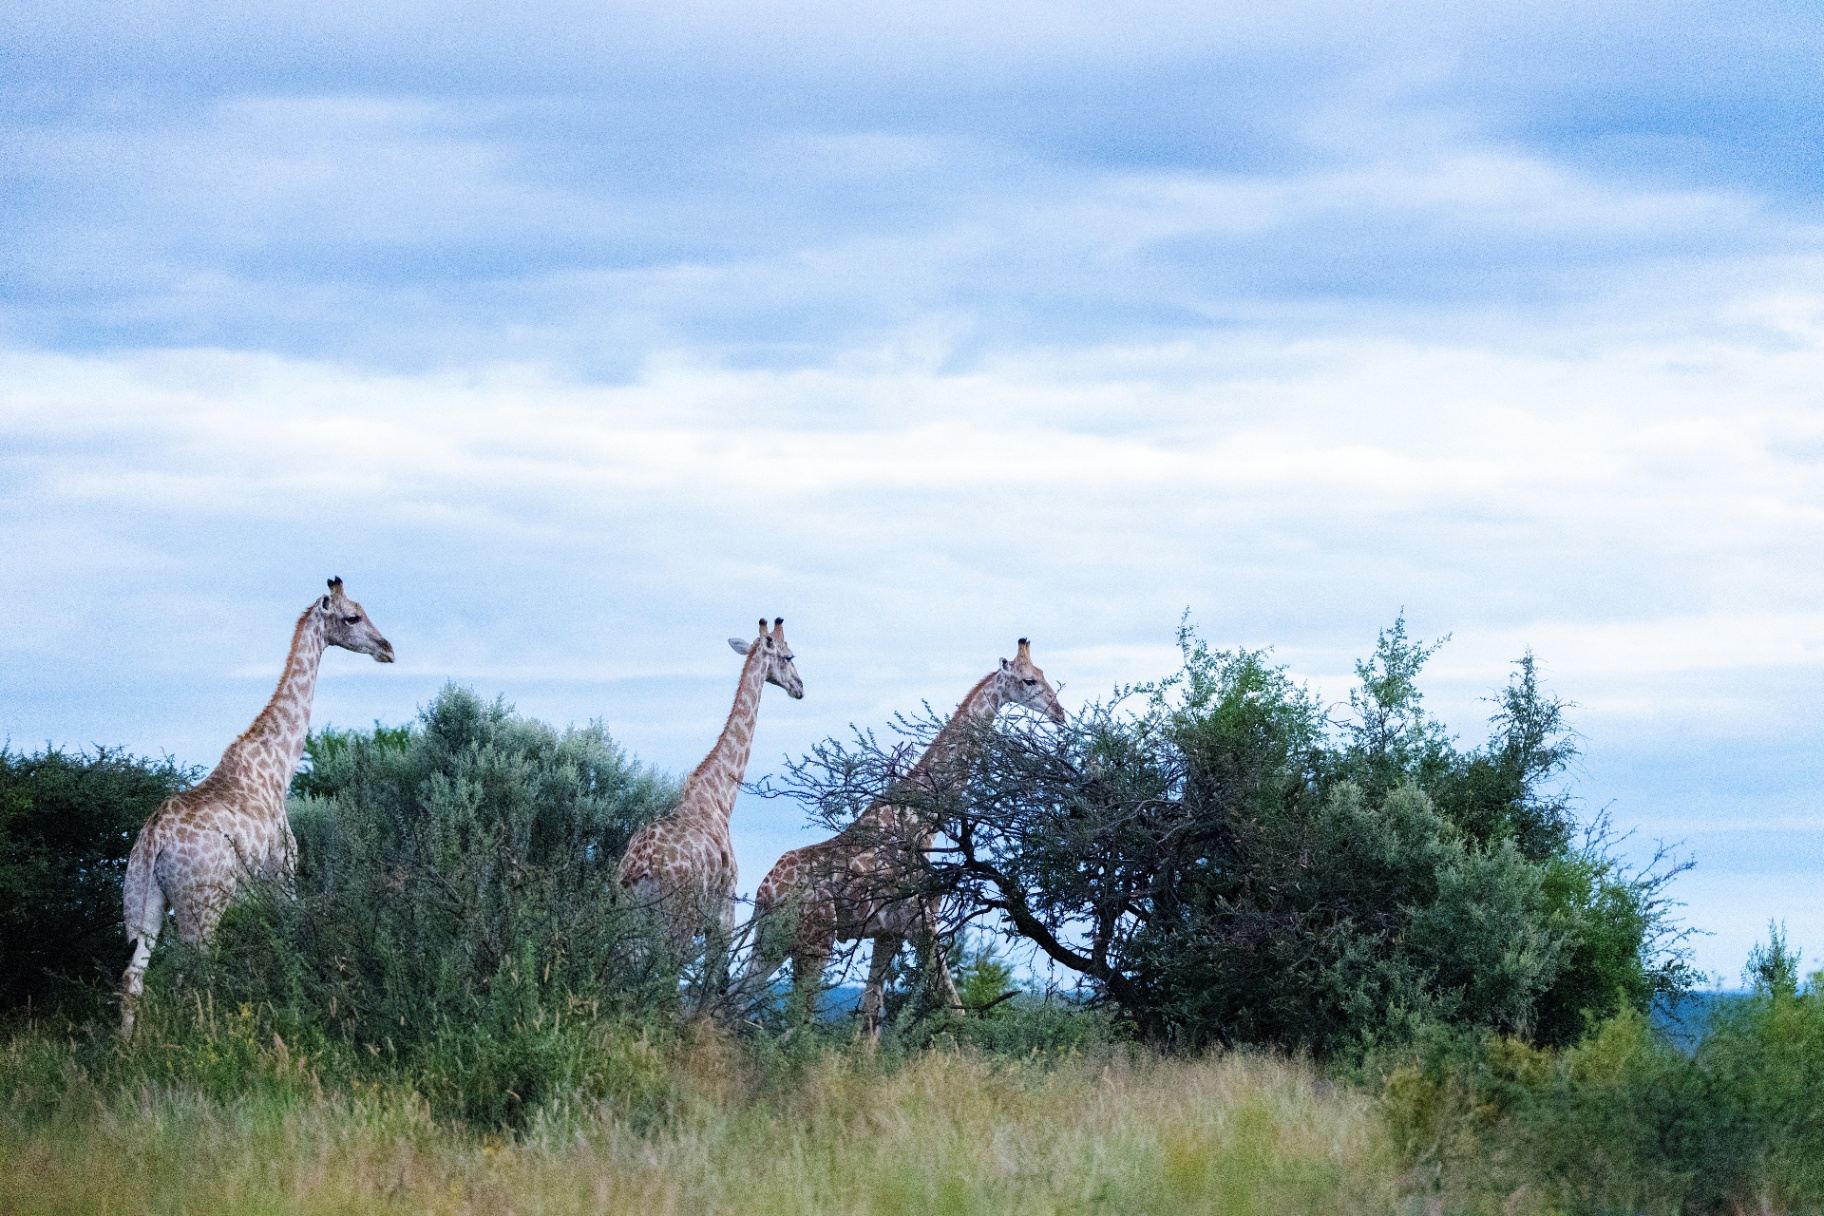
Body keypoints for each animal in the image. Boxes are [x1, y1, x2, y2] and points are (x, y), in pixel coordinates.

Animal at [118, 577, 394, 1039]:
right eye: (353, 616)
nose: (388, 649)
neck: (280, 762)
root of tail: (153, 839)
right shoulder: (282, 876)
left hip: (142, 902)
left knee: (133, 977)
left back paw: (127, 1048)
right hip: (202, 905)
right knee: (191, 973)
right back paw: (202, 1040)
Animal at [616, 617, 803, 972]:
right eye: (788, 656)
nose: (800, 688)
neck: (721, 797)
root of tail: (638, 868)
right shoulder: (724, 914)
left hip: (629, 923)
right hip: (676, 922)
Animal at [746, 638, 1065, 1035]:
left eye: (1043, 674)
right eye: (1028, 680)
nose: (1060, 713)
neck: (923, 820)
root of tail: (764, 894)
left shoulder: (889, 932)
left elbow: (870, 1017)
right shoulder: (922, 923)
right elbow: (954, 1009)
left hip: (770, 944)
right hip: (814, 942)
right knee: (794, 1025)